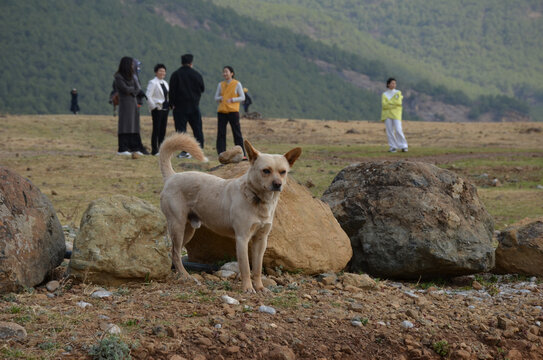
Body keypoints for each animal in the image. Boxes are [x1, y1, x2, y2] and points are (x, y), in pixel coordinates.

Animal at [158, 133, 302, 292]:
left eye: (283, 172)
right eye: (266, 171)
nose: (278, 184)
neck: (257, 199)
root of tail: (172, 176)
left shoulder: (261, 240)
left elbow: (257, 268)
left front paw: (260, 287)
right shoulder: (242, 238)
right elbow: (245, 267)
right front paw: (247, 288)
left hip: (188, 231)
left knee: (173, 252)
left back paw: (178, 273)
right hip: (177, 226)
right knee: (176, 252)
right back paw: (185, 276)